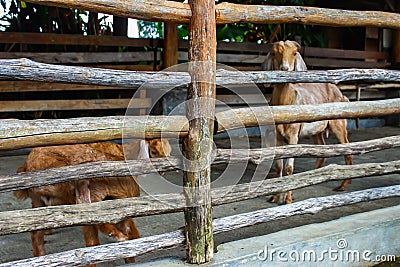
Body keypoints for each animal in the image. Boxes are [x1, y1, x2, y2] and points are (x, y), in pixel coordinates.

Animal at [13, 139, 170, 264]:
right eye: (154, 151)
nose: (164, 169)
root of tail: (27, 165)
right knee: (88, 216)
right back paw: (118, 237)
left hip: (38, 199)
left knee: (37, 234)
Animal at [262, 39, 354, 204]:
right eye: (273, 53)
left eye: (294, 53)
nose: (284, 68)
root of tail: (341, 94)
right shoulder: (277, 137)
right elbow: (278, 166)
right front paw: (275, 196)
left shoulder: (293, 136)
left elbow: (289, 168)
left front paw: (288, 198)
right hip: (317, 130)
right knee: (321, 150)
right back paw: (313, 176)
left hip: (338, 124)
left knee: (348, 151)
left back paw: (343, 185)